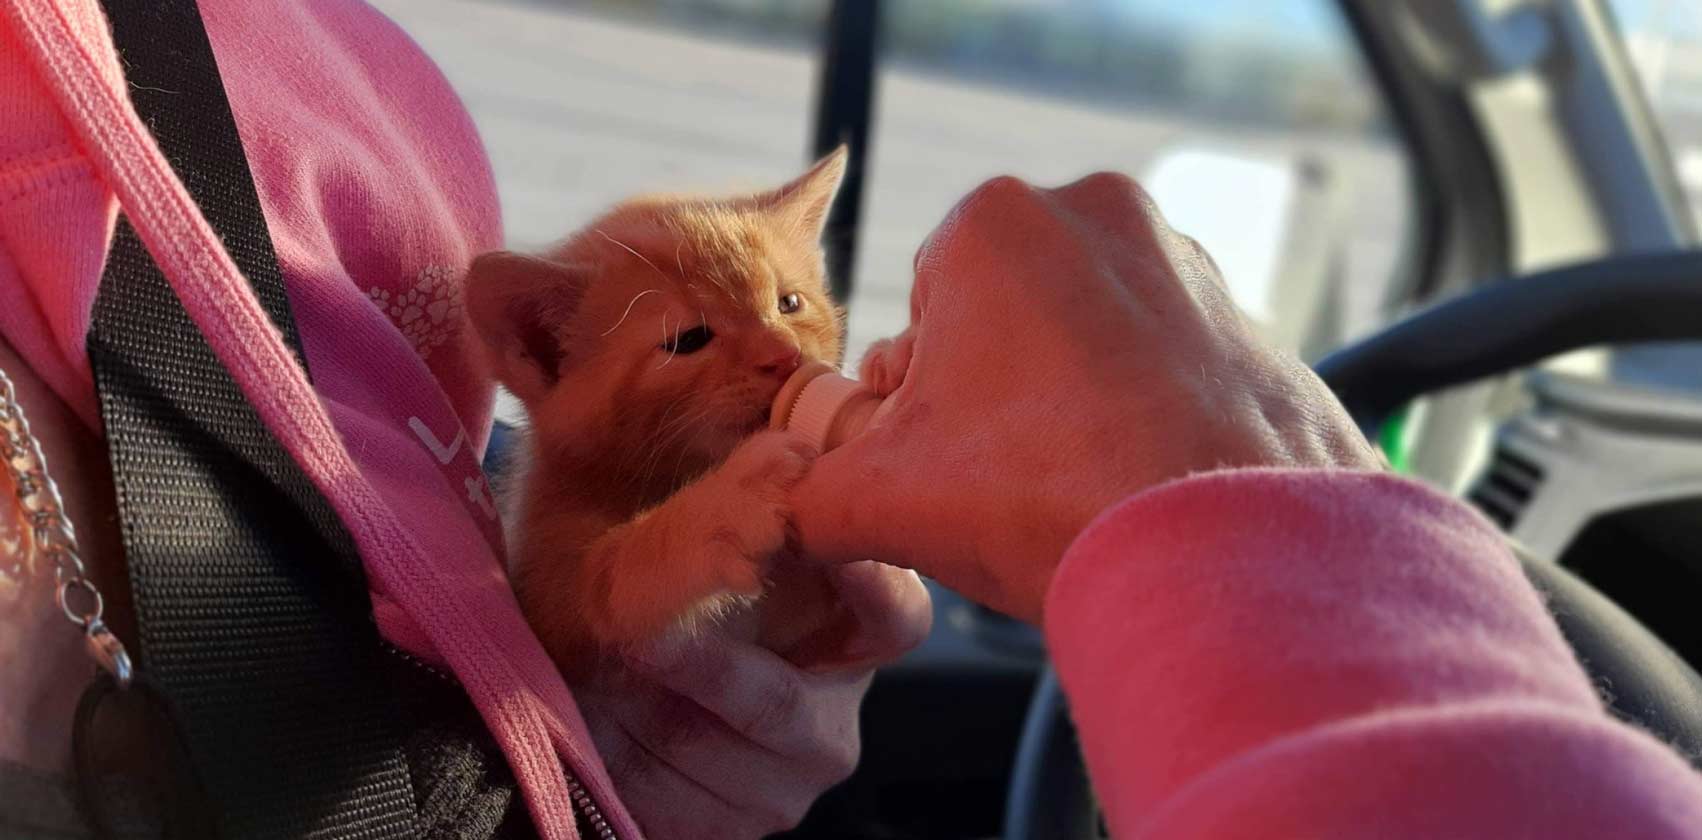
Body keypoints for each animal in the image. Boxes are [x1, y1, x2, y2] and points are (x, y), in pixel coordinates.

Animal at [466, 147, 851, 680]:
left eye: (789, 303)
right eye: (689, 340)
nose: (785, 355)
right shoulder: (544, 602)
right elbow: (605, 580)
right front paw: (720, 508)